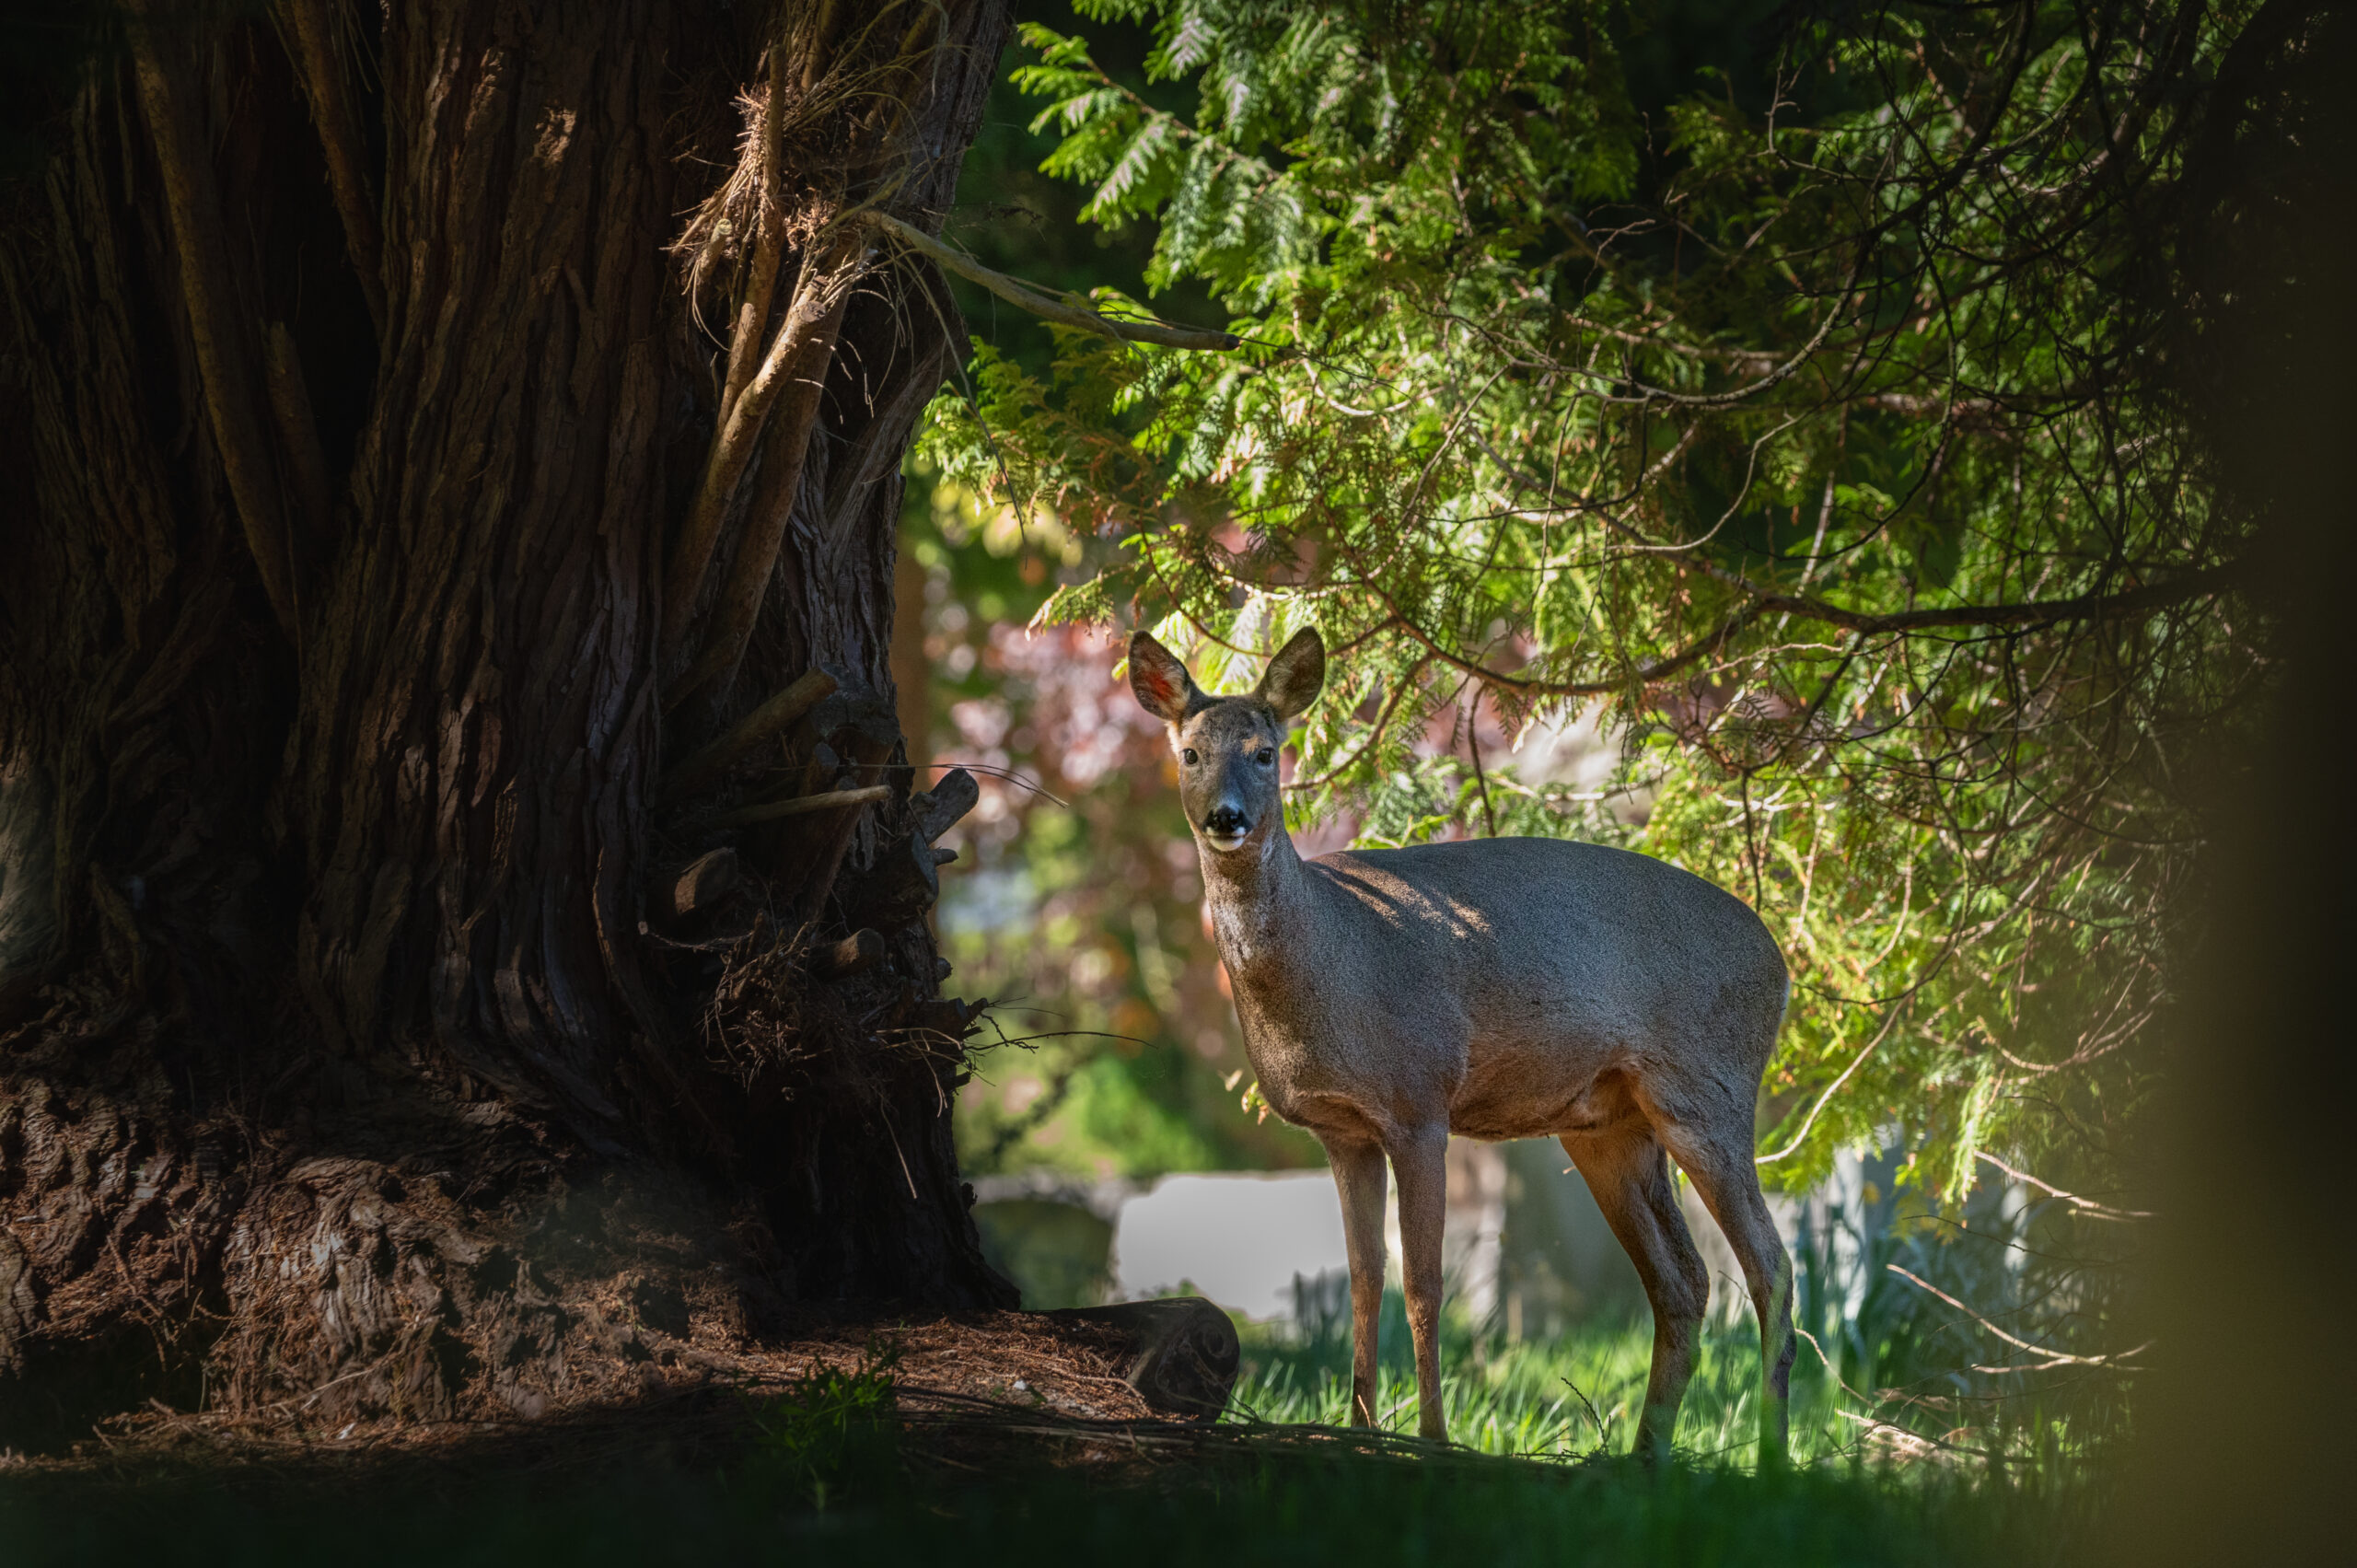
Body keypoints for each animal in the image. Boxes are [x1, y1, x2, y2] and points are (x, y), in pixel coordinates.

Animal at [1127, 626, 1796, 1463]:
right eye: (1189, 752)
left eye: (1265, 751)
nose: (1226, 816)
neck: (1334, 959)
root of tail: (1780, 962)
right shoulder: (1343, 1130)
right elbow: (1363, 1279)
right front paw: (1356, 1426)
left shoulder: (1419, 1101)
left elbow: (1423, 1284)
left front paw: (1433, 1437)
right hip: (1609, 1125)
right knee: (1685, 1280)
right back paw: (1642, 1454)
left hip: (1710, 1086)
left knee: (1772, 1267)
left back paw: (1770, 1459)